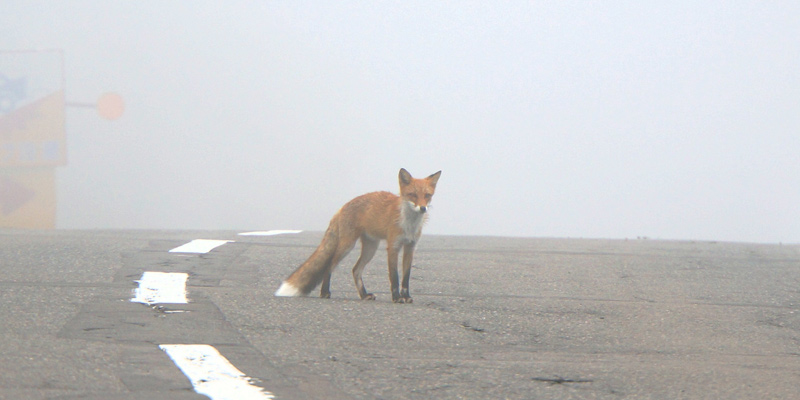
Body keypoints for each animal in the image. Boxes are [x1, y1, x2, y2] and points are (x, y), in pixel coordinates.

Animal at [274, 168, 438, 304]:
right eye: (413, 195)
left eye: (427, 196)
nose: (423, 208)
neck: (408, 224)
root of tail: (342, 207)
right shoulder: (393, 247)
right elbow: (394, 277)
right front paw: (397, 298)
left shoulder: (410, 247)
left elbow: (406, 278)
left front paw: (406, 296)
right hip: (347, 245)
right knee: (329, 265)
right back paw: (325, 292)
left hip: (370, 249)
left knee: (355, 270)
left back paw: (364, 295)